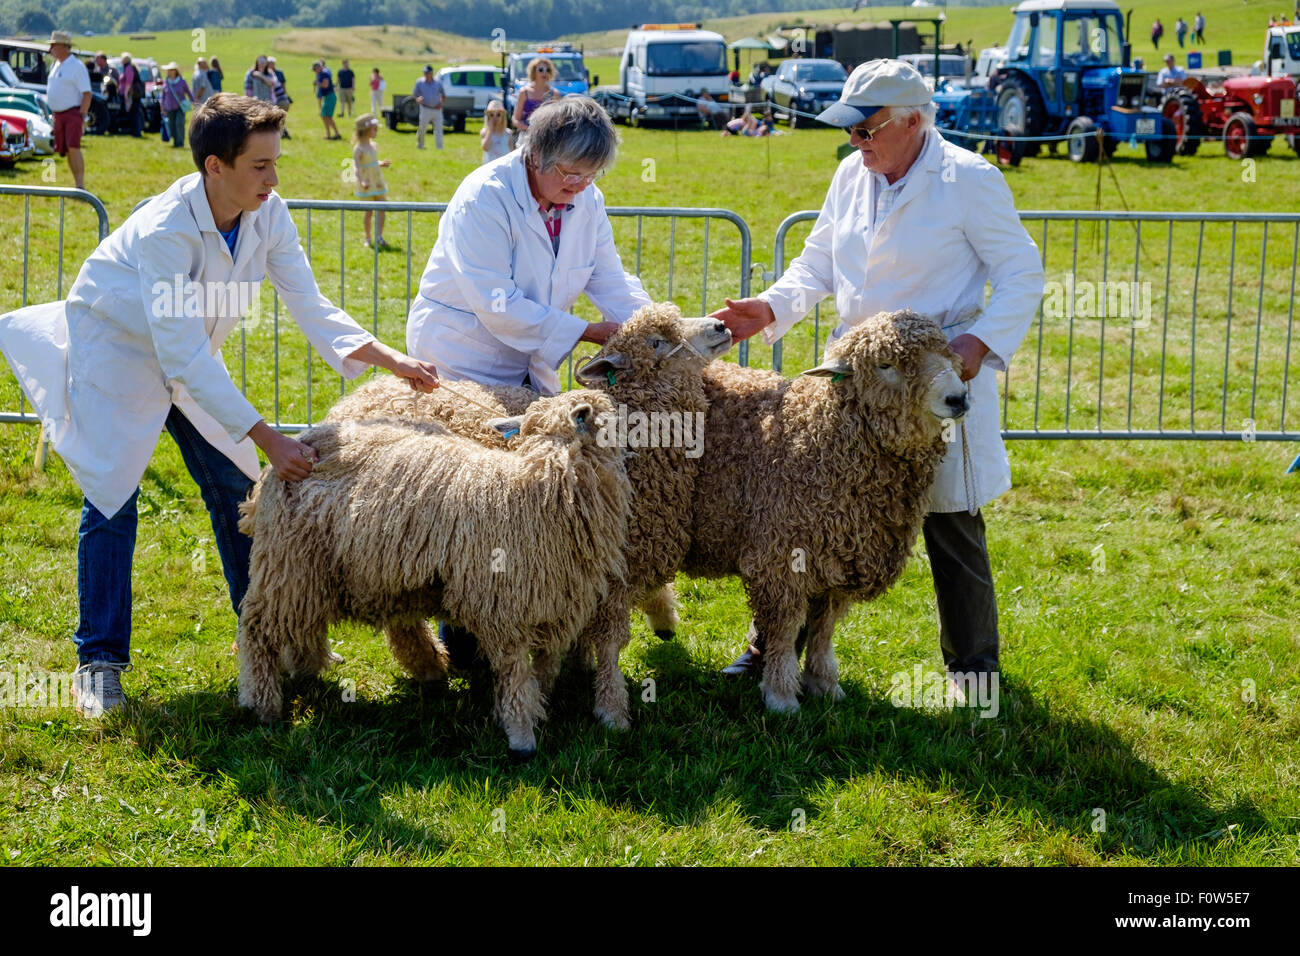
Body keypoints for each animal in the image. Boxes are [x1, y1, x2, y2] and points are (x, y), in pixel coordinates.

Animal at [243, 390, 634, 764]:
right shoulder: (503, 608)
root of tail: (299, 442)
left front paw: (535, 705)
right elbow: (513, 672)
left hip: (329, 572)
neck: (537, 489)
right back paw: (260, 704)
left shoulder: (552, 603)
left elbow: (544, 666)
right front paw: (521, 737)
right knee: (257, 629)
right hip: (287, 562)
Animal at [681, 310, 967, 712]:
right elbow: (785, 630)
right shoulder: (782, 558)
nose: (958, 398)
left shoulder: (839, 558)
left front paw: (824, 684)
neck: (819, 433)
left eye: (947, 354)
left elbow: (823, 628)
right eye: (885, 365)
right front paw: (781, 694)